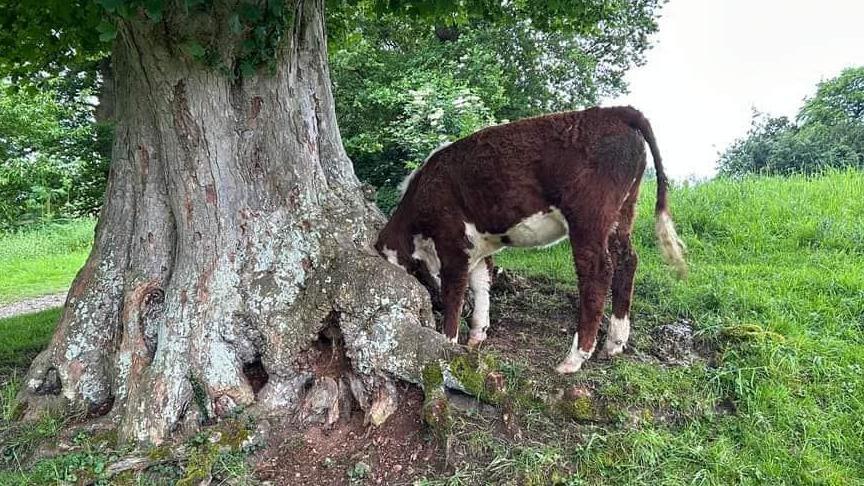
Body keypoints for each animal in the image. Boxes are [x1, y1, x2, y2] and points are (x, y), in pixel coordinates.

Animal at [374, 106, 684, 372]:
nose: (431, 303)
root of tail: (616, 110)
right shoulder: (477, 245)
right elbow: (481, 282)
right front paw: (477, 334)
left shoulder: (453, 244)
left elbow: (456, 293)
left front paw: (447, 340)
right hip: (623, 212)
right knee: (627, 262)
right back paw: (614, 343)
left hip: (589, 216)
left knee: (597, 272)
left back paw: (574, 358)